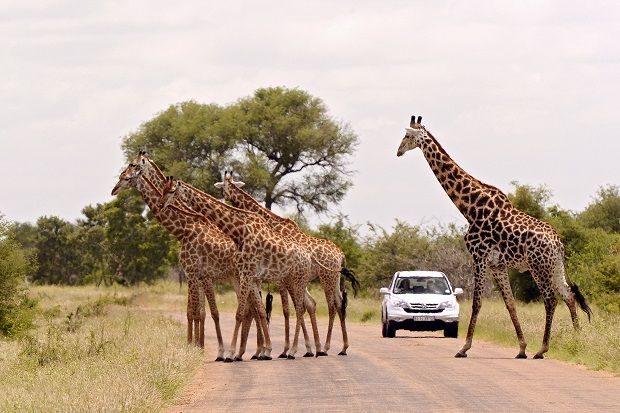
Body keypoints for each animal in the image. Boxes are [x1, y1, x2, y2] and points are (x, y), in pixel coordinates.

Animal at [111, 163, 264, 358]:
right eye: (121, 175)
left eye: (127, 177)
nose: (114, 190)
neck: (184, 229)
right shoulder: (195, 275)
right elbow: (197, 311)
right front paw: (198, 345)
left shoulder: (196, 274)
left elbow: (201, 312)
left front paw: (201, 347)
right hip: (241, 278)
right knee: (253, 309)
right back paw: (251, 351)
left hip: (246, 277)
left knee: (253, 309)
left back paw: (255, 351)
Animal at [214, 171, 360, 354]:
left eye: (223, 188)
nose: (221, 198)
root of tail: (341, 255)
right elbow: (296, 307)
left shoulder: (281, 279)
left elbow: (287, 309)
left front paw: (285, 349)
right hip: (334, 279)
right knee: (339, 304)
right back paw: (341, 347)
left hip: (327, 278)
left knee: (332, 306)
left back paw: (326, 347)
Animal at [398, 115, 592, 358]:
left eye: (406, 136)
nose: (398, 151)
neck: (470, 208)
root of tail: (558, 243)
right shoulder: (497, 264)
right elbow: (510, 303)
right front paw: (521, 348)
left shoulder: (479, 257)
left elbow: (476, 303)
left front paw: (464, 347)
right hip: (555, 266)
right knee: (568, 295)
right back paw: (578, 340)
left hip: (538, 266)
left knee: (551, 299)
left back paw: (543, 349)